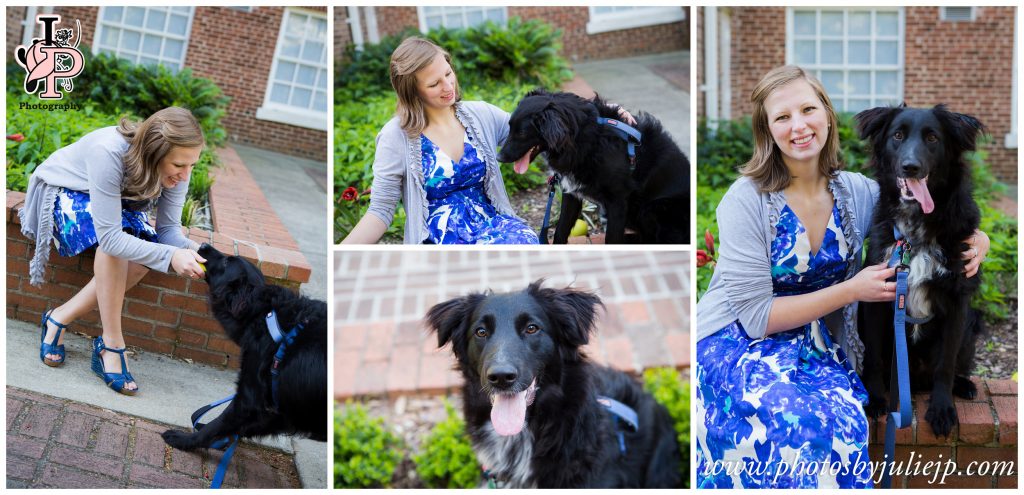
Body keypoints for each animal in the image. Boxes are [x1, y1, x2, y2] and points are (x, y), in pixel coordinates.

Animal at [162, 245, 327, 450]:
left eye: (226, 262)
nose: (202, 246)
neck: (263, 314)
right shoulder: (282, 410)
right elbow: (246, 427)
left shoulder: (250, 396)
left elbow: (217, 424)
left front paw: (185, 439)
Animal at [495, 90, 688, 244]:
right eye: (509, 127)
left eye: (521, 133)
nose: (498, 157)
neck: (582, 137)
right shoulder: (571, 193)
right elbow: (560, 231)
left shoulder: (618, 201)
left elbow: (612, 240)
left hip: (654, 208)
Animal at [856, 104, 983, 438]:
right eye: (898, 135)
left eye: (933, 138)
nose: (910, 167)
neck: (917, 228)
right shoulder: (876, 296)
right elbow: (873, 357)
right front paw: (876, 399)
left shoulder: (957, 301)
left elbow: (946, 364)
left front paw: (942, 410)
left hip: (972, 324)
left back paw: (964, 386)